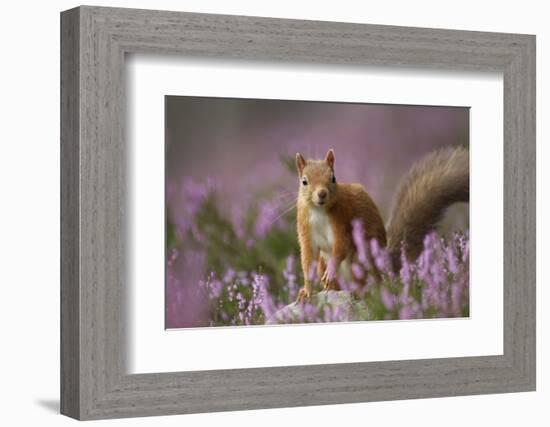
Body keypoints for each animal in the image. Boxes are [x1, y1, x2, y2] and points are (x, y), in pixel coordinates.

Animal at [298, 147, 470, 300]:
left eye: (333, 178)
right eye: (304, 181)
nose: (322, 193)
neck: (319, 210)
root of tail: (382, 262)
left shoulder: (343, 220)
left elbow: (341, 246)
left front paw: (331, 271)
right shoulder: (306, 229)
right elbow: (307, 259)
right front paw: (306, 291)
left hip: (360, 259)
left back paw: (358, 292)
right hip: (323, 263)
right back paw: (333, 288)